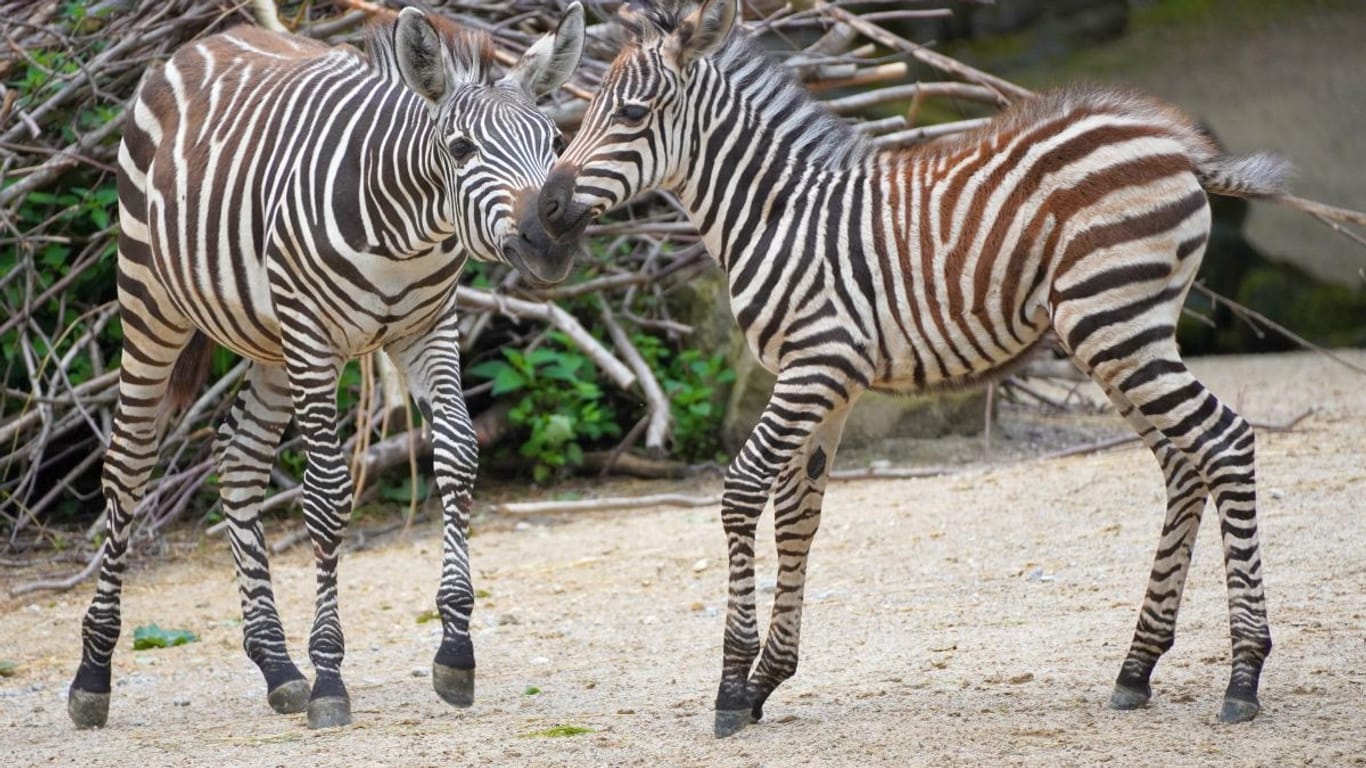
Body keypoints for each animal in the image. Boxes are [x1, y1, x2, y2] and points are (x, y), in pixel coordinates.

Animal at [66, 4, 584, 727]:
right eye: (461, 150)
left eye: (552, 140)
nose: (552, 241)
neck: (404, 230)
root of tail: (206, 41)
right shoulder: (314, 339)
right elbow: (330, 493)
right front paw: (331, 676)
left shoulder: (427, 328)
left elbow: (457, 454)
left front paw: (455, 651)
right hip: (153, 301)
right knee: (129, 464)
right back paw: (93, 675)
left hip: (271, 343)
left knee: (239, 459)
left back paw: (278, 666)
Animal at [538, 0, 1284, 737]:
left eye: (632, 114)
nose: (543, 210)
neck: (776, 215)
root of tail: (1178, 145)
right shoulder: (825, 382)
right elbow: (798, 516)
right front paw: (767, 680)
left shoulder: (817, 365)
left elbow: (744, 491)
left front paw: (730, 685)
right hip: (1122, 335)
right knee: (1183, 462)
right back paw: (1136, 668)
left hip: (1115, 323)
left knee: (1224, 441)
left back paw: (1243, 676)